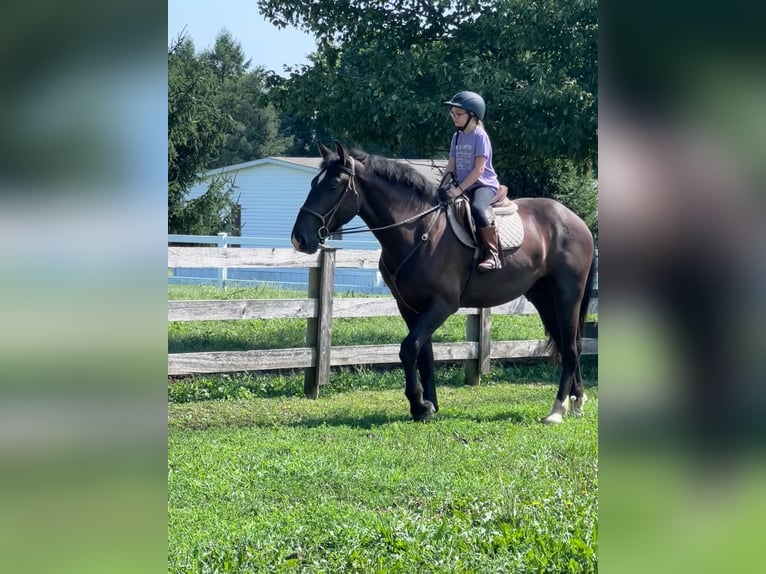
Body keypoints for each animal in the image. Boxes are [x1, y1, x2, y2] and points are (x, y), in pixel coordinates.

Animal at [292, 142, 596, 426]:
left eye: (332, 185)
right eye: (313, 184)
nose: (299, 239)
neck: (418, 231)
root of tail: (575, 221)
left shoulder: (442, 305)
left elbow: (409, 348)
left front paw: (418, 404)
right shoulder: (410, 307)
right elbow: (423, 353)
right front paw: (430, 406)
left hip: (566, 296)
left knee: (570, 347)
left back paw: (557, 409)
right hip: (544, 298)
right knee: (569, 344)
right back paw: (577, 401)